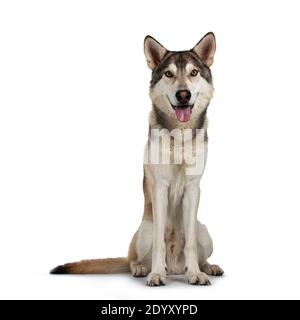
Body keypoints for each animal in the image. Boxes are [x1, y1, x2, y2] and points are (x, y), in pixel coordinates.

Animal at [51, 32, 223, 286]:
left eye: (194, 73)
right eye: (169, 74)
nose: (183, 95)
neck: (179, 136)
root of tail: (175, 266)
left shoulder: (193, 188)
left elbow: (190, 244)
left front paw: (195, 274)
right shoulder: (159, 186)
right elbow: (159, 241)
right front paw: (156, 274)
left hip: (205, 232)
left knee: (198, 250)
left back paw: (207, 267)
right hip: (143, 233)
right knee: (134, 258)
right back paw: (143, 268)